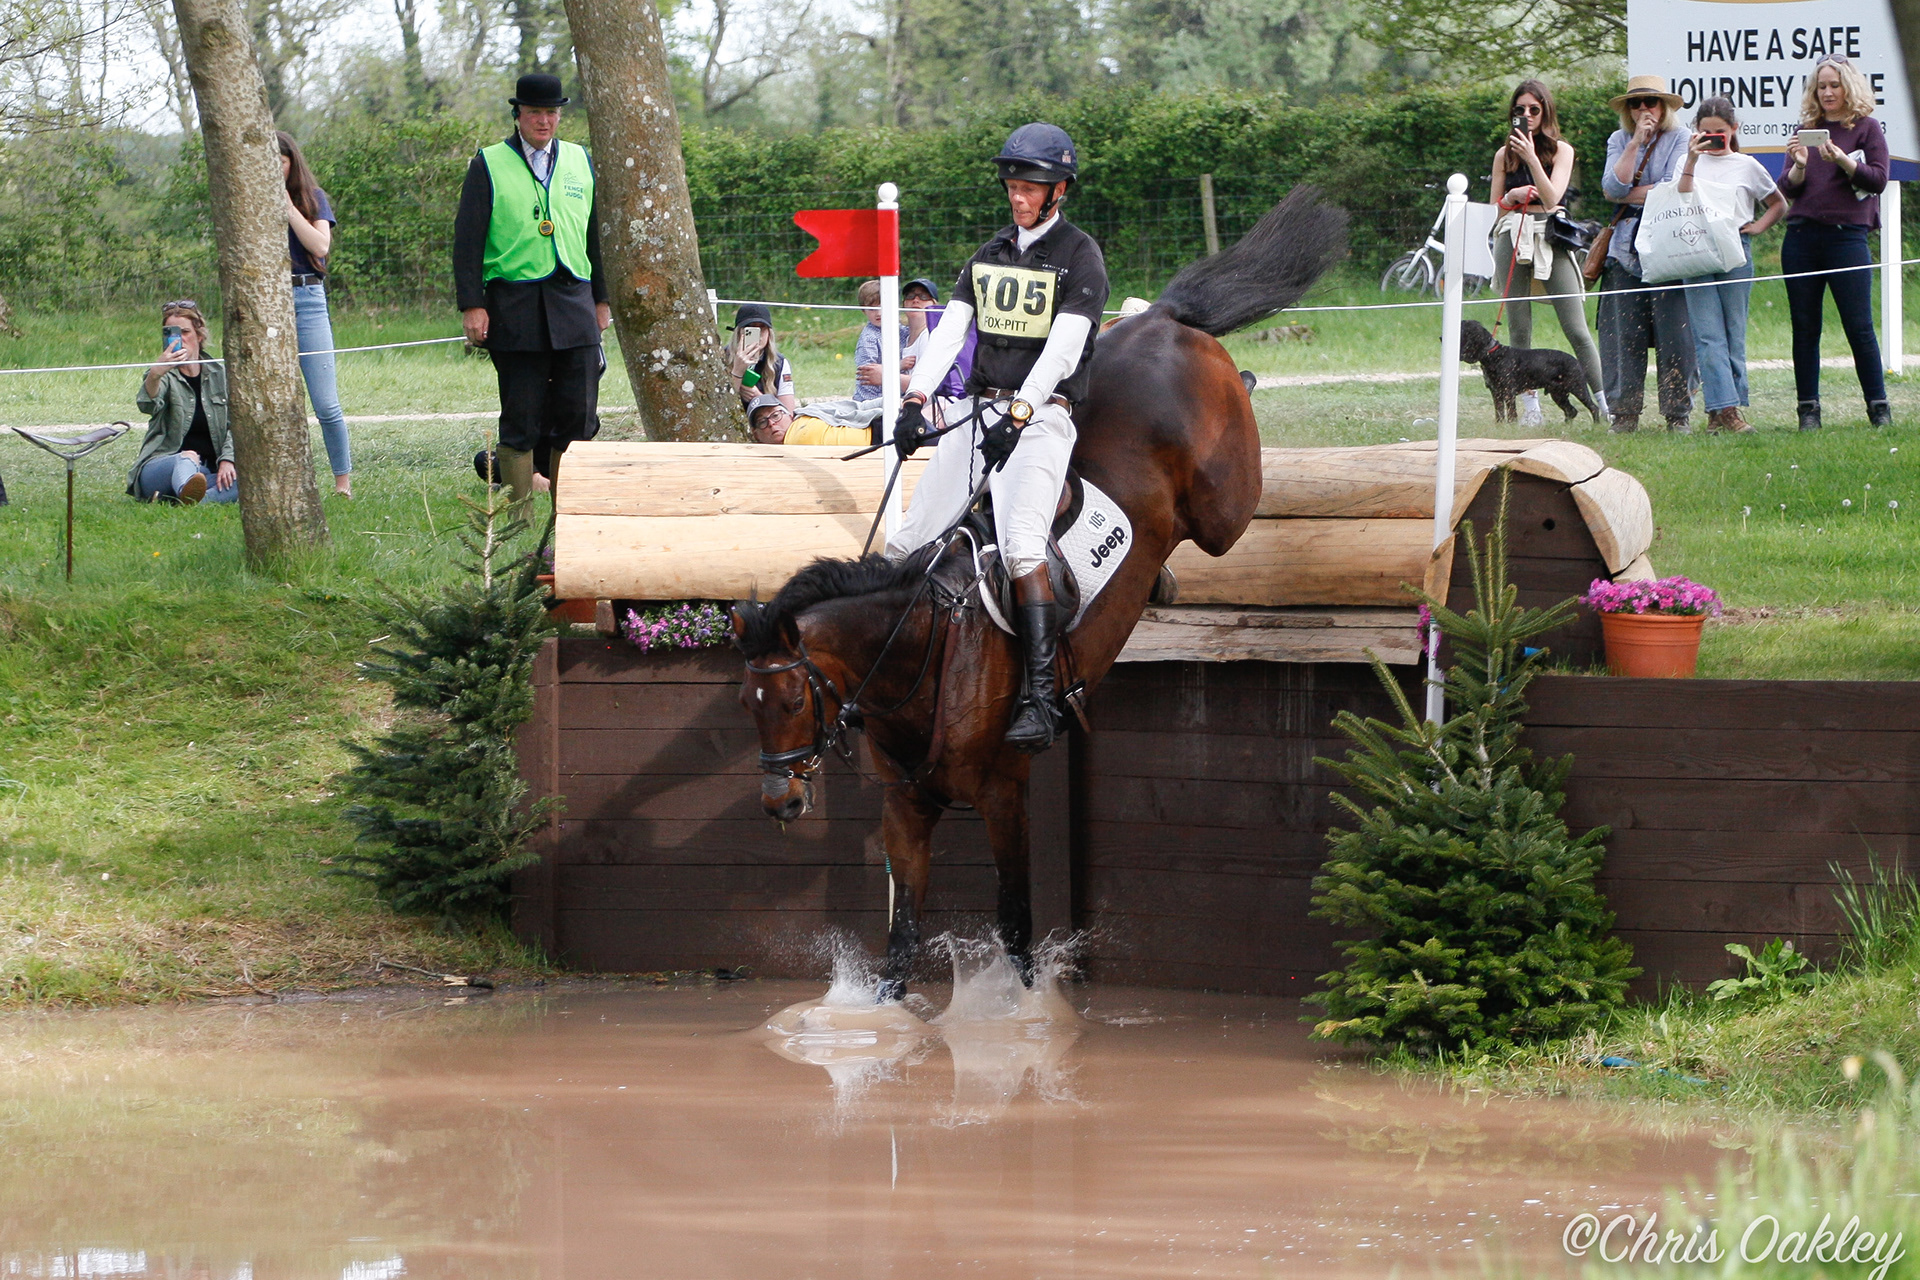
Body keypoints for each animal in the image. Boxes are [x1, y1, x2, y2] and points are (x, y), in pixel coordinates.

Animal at [730, 188, 1348, 1001]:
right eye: (750, 706)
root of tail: (1163, 319)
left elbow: (1017, 928)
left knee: (1226, 499)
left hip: (1224, 505)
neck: (922, 650)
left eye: (794, 700)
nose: (782, 804)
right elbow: (901, 943)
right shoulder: (906, 807)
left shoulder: (1003, 793)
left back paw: (1243, 383)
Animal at [1458, 320, 1600, 425]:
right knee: (1571, 411)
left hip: (1577, 387)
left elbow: (1511, 414)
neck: (1493, 355)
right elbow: (1499, 414)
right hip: (1558, 394)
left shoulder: (1508, 392)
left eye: (1462, 327)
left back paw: (1596, 426)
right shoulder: (1496, 392)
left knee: (1593, 407)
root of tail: (1576, 361)